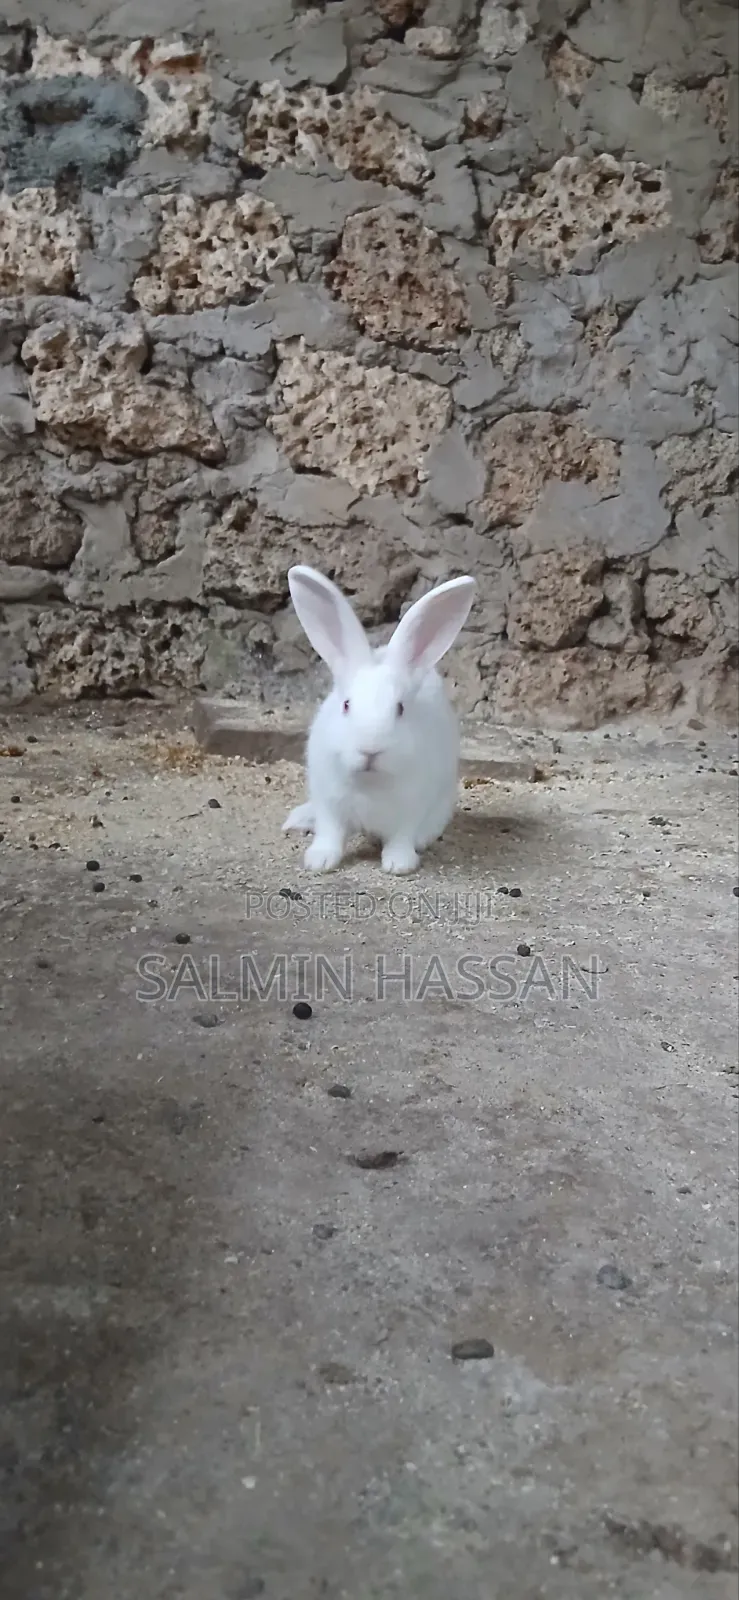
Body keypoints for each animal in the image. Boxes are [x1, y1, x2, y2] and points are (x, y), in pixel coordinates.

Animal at [282, 564, 476, 874]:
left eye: (400, 709)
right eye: (346, 705)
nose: (370, 750)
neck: (369, 783)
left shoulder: (411, 810)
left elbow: (400, 838)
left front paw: (399, 864)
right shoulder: (329, 804)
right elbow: (331, 834)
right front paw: (319, 861)